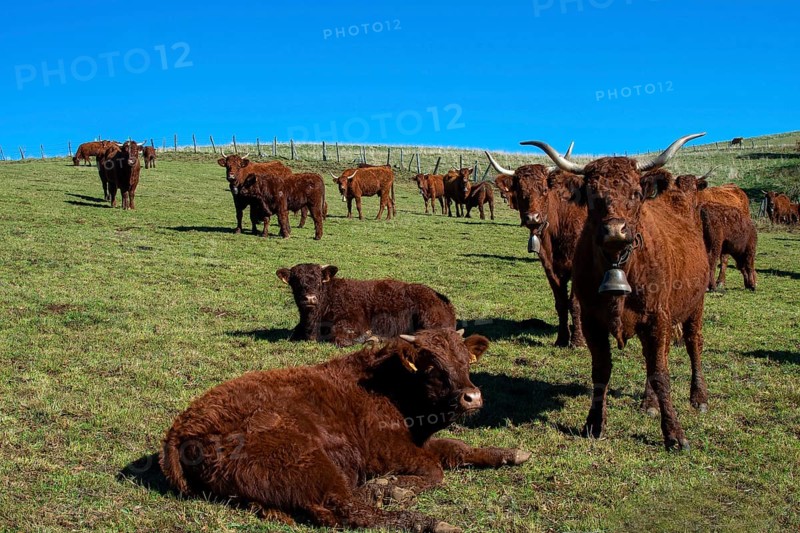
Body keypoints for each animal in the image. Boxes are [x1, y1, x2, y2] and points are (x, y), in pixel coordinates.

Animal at [160, 328, 531, 532]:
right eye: (432, 367)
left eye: (465, 362)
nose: (473, 397)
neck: (389, 384)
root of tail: (181, 429)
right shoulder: (389, 450)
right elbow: (434, 471)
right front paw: (391, 487)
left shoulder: (422, 442)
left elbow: (457, 449)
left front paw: (511, 453)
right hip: (306, 461)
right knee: (349, 509)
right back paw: (427, 521)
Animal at [276, 263, 457, 346]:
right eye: (295, 281)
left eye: (320, 281)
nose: (310, 298)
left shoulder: (353, 323)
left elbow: (340, 337)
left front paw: (370, 336)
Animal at [486, 152, 586, 347]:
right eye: (520, 191)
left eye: (545, 190)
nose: (532, 217)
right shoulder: (550, 267)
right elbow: (561, 303)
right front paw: (562, 339)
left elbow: (574, 303)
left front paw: (578, 341)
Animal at [526, 133, 709, 450]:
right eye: (591, 195)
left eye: (635, 193)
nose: (615, 231)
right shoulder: (592, 321)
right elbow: (602, 369)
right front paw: (593, 423)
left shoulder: (657, 318)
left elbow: (661, 374)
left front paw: (674, 434)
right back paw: (649, 403)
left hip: (693, 307)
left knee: (692, 344)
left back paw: (697, 397)